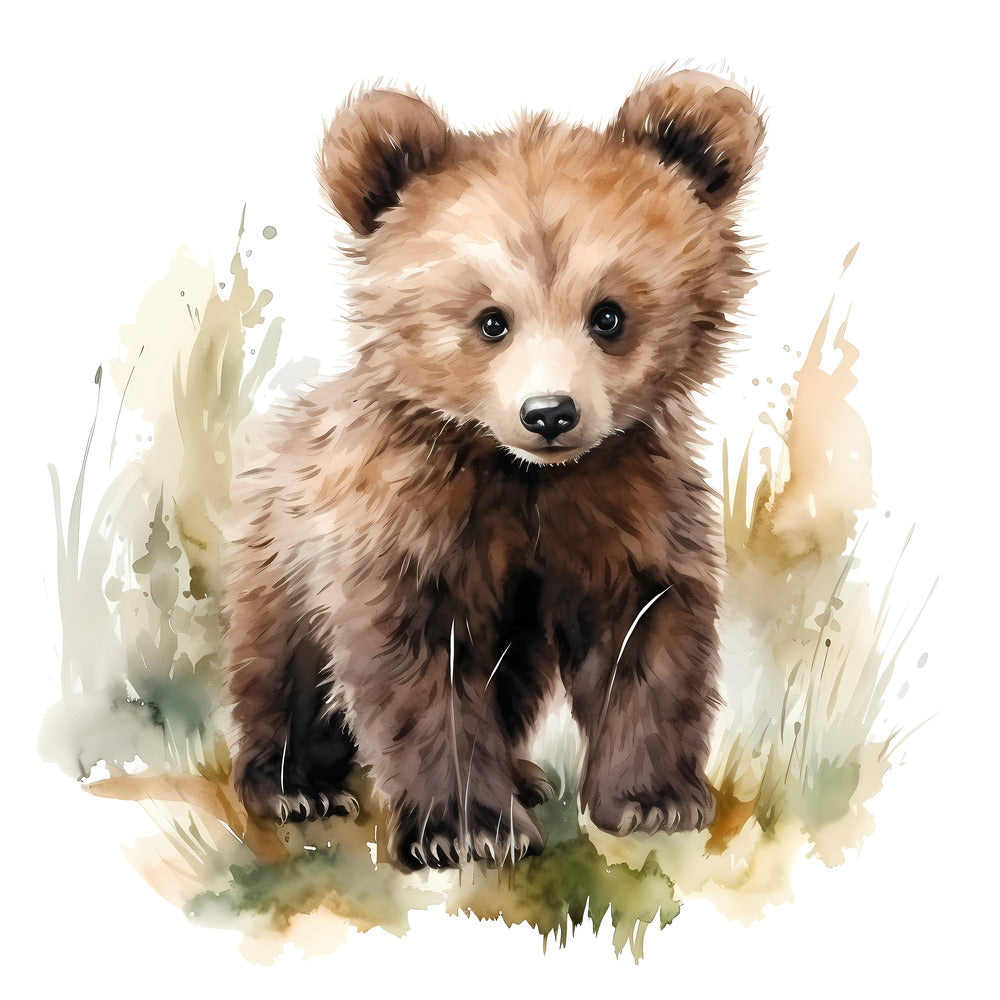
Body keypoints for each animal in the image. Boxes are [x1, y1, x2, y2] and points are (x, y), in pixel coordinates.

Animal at [221, 69, 765, 870]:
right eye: (490, 321)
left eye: (609, 314)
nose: (550, 414)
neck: (526, 478)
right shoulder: (408, 528)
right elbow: (420, 672)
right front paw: (468, 829)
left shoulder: (627, 507)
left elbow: (646, 635)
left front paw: (652, 800)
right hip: (281, 552)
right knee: (281, 666)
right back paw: (296, 784)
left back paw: (526, 773)